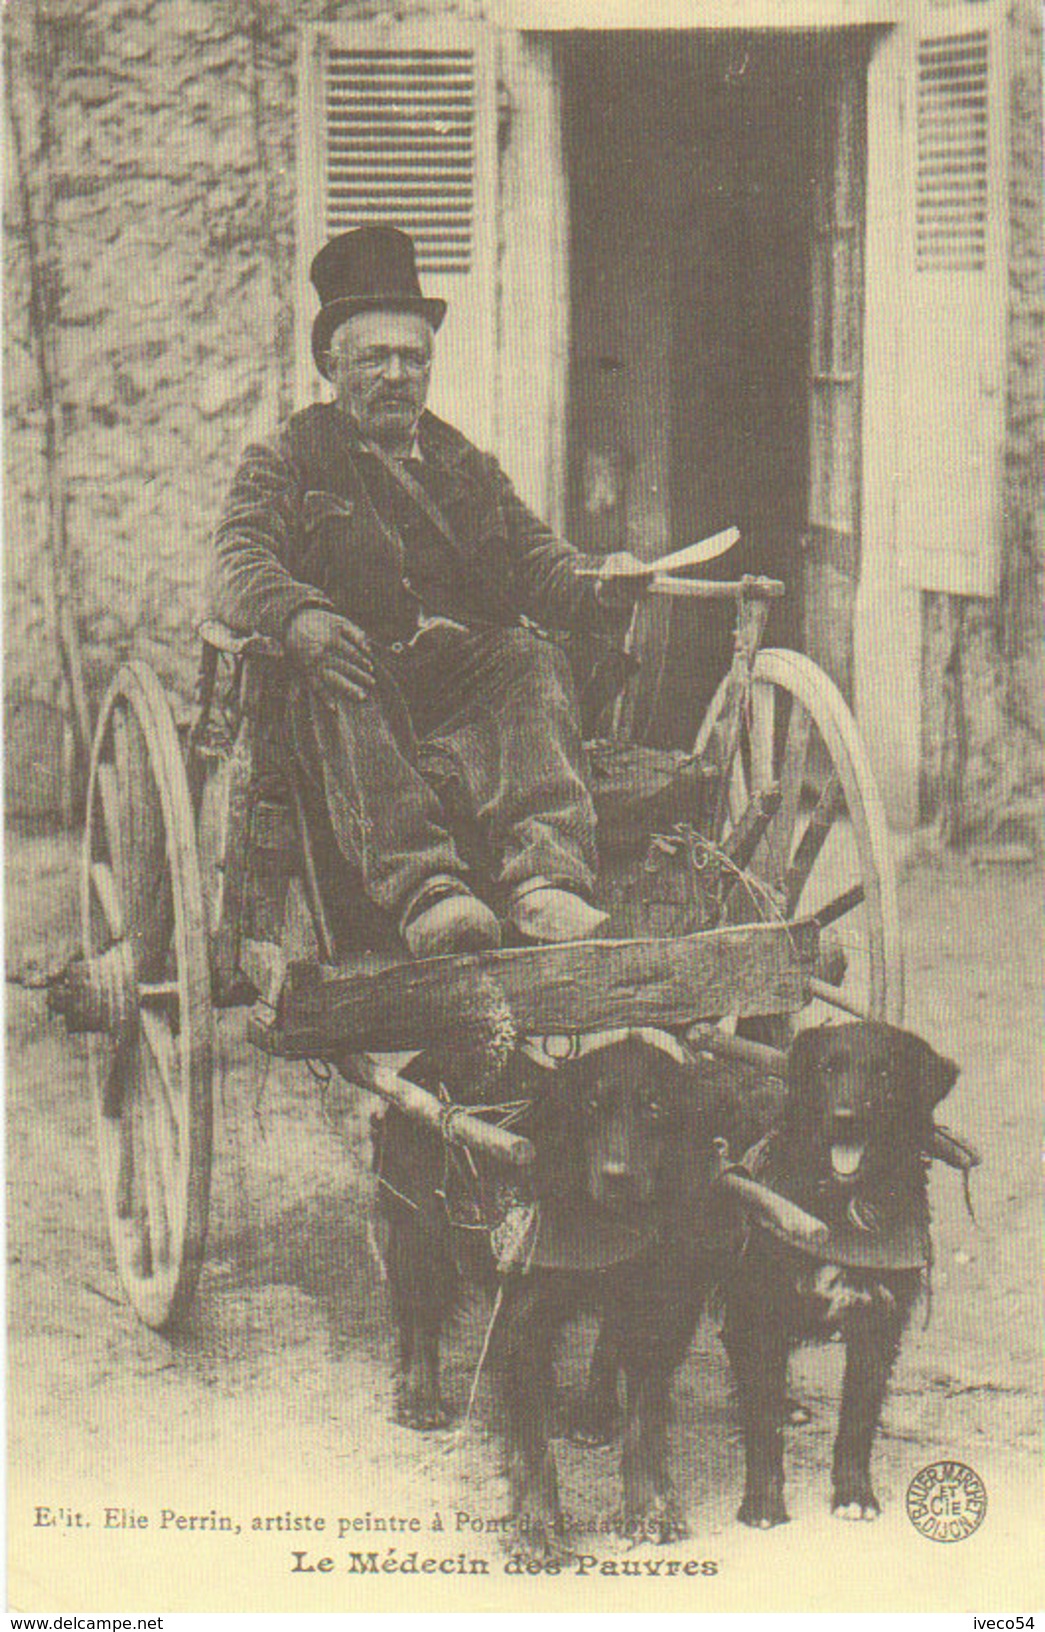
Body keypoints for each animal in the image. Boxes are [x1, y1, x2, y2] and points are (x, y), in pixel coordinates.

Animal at [372, 1031, 738, 1553]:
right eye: (590, 1106)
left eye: (655, 1107)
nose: (617, 1176)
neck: (605, 1221)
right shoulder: (524, 1317)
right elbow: (530, 1436)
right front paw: (537, 1525)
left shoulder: (659, 1306)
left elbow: (645, 1420)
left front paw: (649, 1508)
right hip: (418, 1224)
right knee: (420, 1312)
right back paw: (421, 1396)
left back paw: (591, 1413)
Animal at [721, 1018, 960, 1527]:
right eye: (827, 1068)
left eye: (886, 1073)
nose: (846, 1117)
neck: (841, 1203)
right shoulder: (756, 1311)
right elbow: (762, 1423)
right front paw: (763, 1504)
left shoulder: (878, 1322)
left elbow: (858, 1419)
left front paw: (854, 1494)